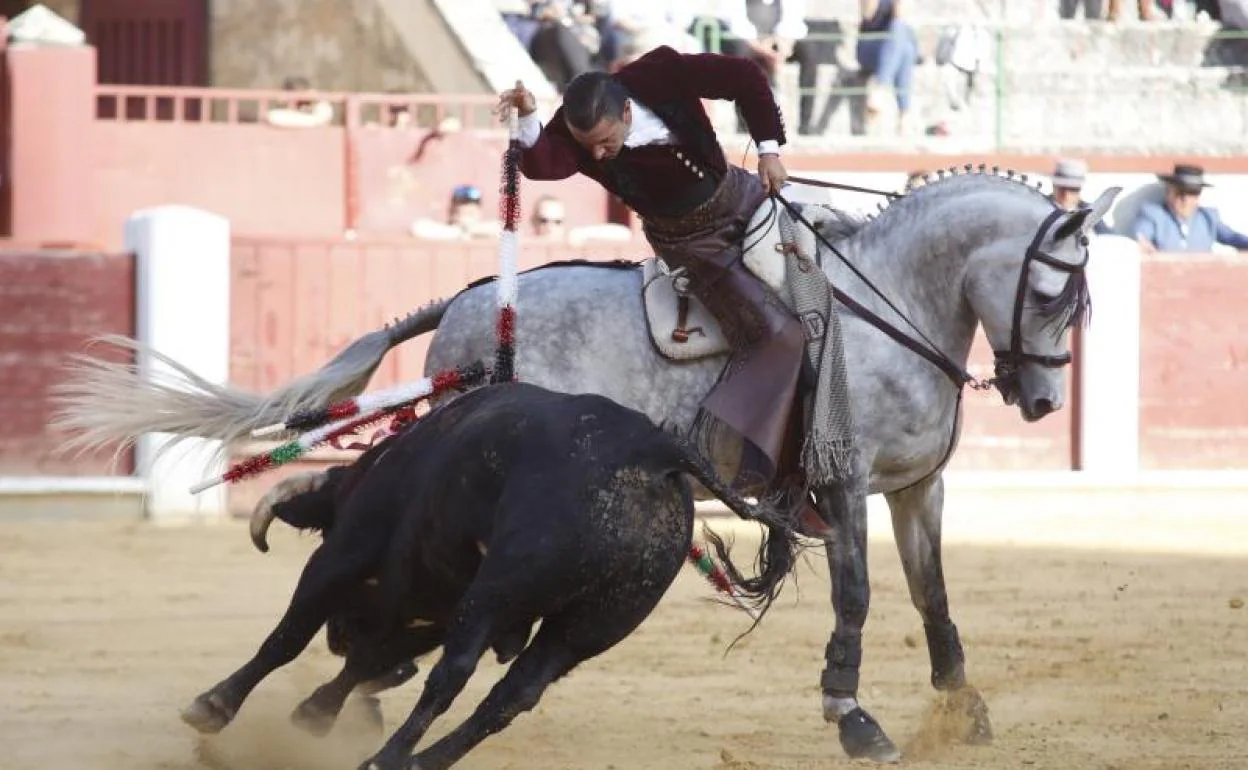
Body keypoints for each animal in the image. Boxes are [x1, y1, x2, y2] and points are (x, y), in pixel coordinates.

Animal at [182, 381, 808, 763]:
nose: (338, 635)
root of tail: (653, 451)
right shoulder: (430, 606)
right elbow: (368, 660)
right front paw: (315, 714)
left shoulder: (346, 554)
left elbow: (289, 638)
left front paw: (212, 707)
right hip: (593, 623)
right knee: (514, 694)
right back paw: (416, 761)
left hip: (499, 588)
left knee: (454, 675)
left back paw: (386, 760)